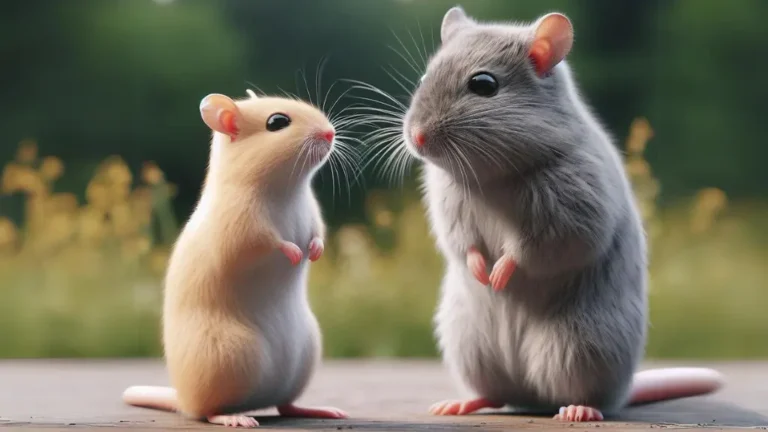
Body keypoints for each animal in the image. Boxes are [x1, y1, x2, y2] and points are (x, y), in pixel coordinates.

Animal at [122, 90, 348, 428]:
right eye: (277, 122)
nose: (330, 133)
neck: (284, 187)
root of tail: (182, 399)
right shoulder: (242, 228)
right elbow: (265, 243)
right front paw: (294, 253)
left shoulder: (312, 215)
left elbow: (318, 234)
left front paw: (315, 251)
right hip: (227, 356)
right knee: (207, 411)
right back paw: (233, 418)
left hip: (305, 354)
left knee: (286, 406)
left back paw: (315, 409)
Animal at [399, 7, 725, 422]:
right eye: (425, 77)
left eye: (484, 85)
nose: (417, 137)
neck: (493, 177)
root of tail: (531, 396)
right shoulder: (451, 211)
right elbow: (464, 245)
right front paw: (480, 272)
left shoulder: (572, 213)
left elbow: (532, 249)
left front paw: (499, 274)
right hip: (470, 346)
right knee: (495, 394)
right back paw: (461, 403)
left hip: (581, 346)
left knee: (584, 394)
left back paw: (579, 410)